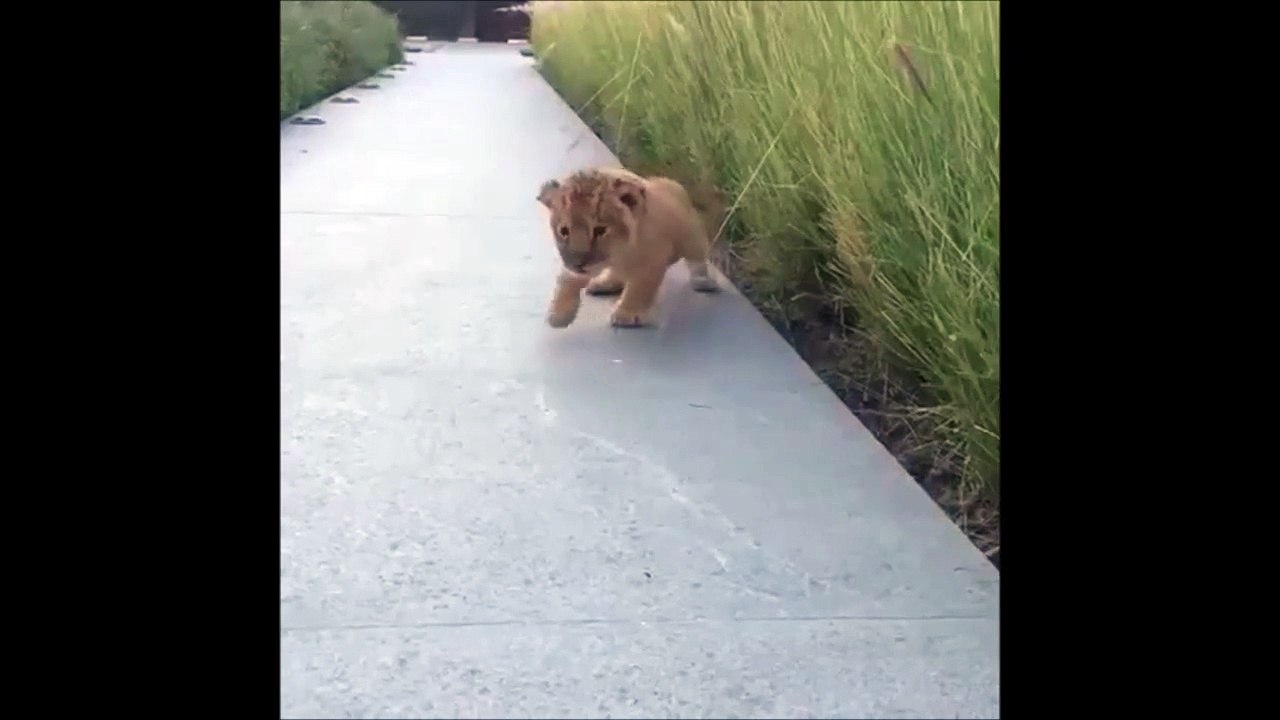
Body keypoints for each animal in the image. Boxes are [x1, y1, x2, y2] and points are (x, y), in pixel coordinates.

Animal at [536, 166, 725, 328]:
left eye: (600, 230)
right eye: (564, 231)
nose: (579, 264)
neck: (619, 250)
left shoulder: (653, 260)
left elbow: (639, 289)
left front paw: (625, 314)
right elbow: (565, 280)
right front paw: (558, 315)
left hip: (693, 238)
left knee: (697, 261)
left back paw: (703, 281)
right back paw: (602, 283)